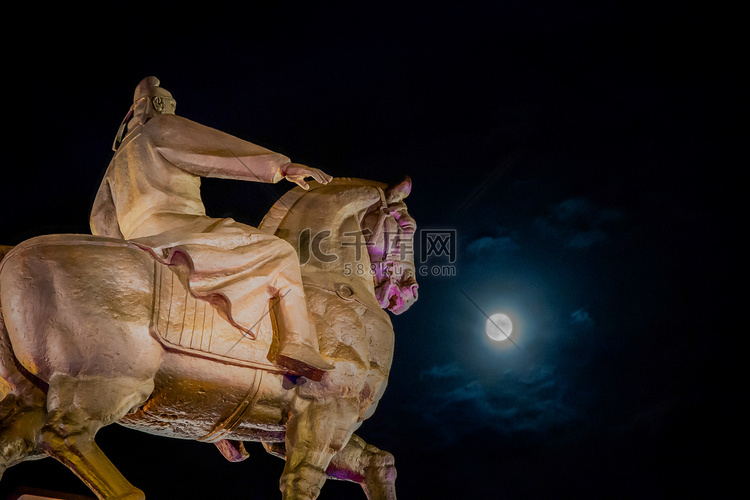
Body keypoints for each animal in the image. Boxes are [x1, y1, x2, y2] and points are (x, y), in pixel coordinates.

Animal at [0, 177, 418, 500]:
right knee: (64, 435)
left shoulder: (291, 429)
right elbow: (303, 482)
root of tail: (11, 255)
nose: (407, 293)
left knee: (15, 442)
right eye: (409, 227)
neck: (336, 285)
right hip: (110, 382)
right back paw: (129, 493)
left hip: (34, 397)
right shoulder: (328, 409)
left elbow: (379, 463)